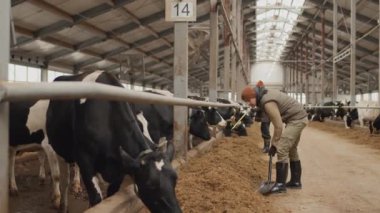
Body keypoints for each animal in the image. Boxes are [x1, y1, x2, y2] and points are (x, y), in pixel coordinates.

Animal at [46, 70, 183, 212]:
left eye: (175, 178)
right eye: (150, 185)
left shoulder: (120, 167)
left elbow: (110, 194)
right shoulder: (85, 161)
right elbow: (96, 199)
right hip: (60, 149)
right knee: (63, 180)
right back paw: (62, 204)